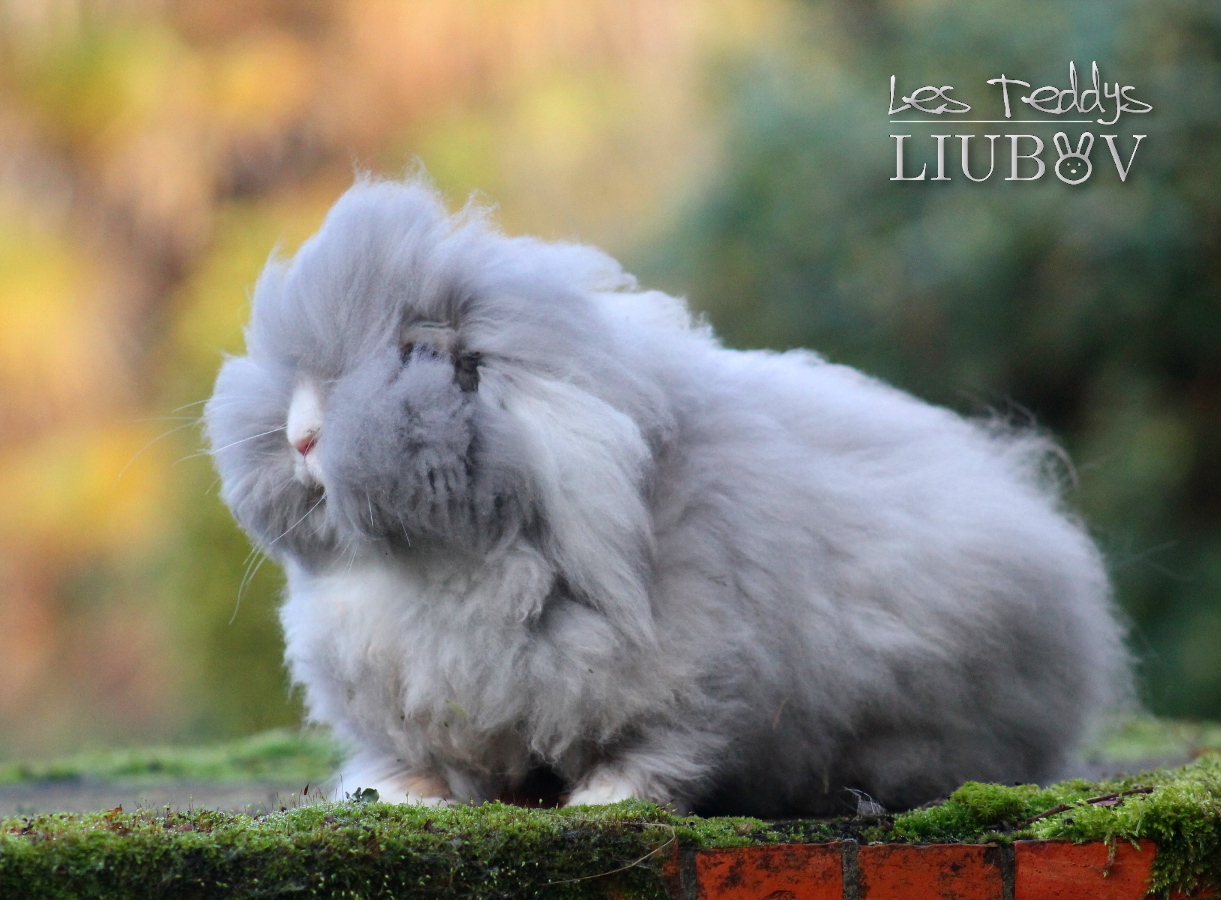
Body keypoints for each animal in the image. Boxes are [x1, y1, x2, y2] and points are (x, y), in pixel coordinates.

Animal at [205, 174, 1129, 817]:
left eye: (417, 352)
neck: (440, 565)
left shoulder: (692, 685)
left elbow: (662, 751)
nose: (300, 436)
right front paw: (401, 796)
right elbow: (419, 761)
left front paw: (602, 801)